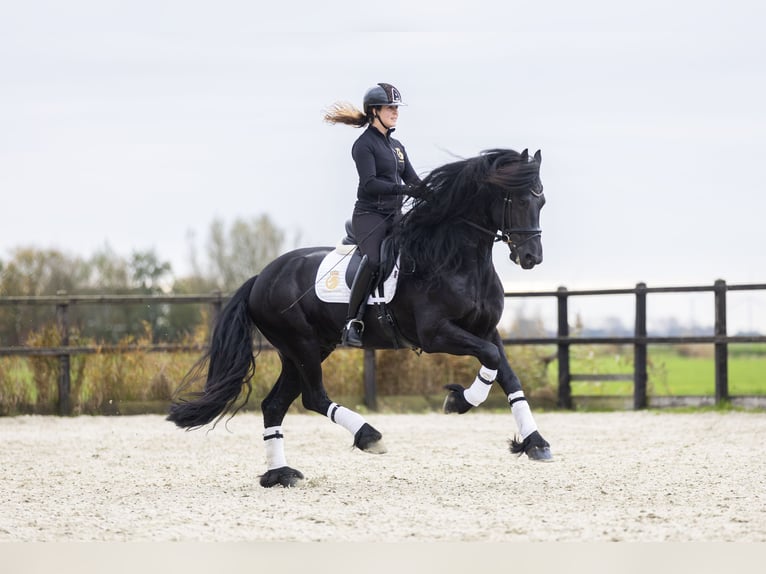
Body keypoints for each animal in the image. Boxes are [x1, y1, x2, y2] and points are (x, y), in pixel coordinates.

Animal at [168, 147, 552, 486]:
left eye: (542, 202)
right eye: (519, 201)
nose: (531, 257)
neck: (458, 261)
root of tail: (261, 277)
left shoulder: (486, 330)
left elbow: (507, 375)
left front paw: (535, 442)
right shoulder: (436, 334)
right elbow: (491, 360)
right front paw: (458, 402)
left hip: (305, 350)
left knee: (274, 405)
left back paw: (281, 475)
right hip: (301, 345)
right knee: (314, 397)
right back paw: (369, 436)